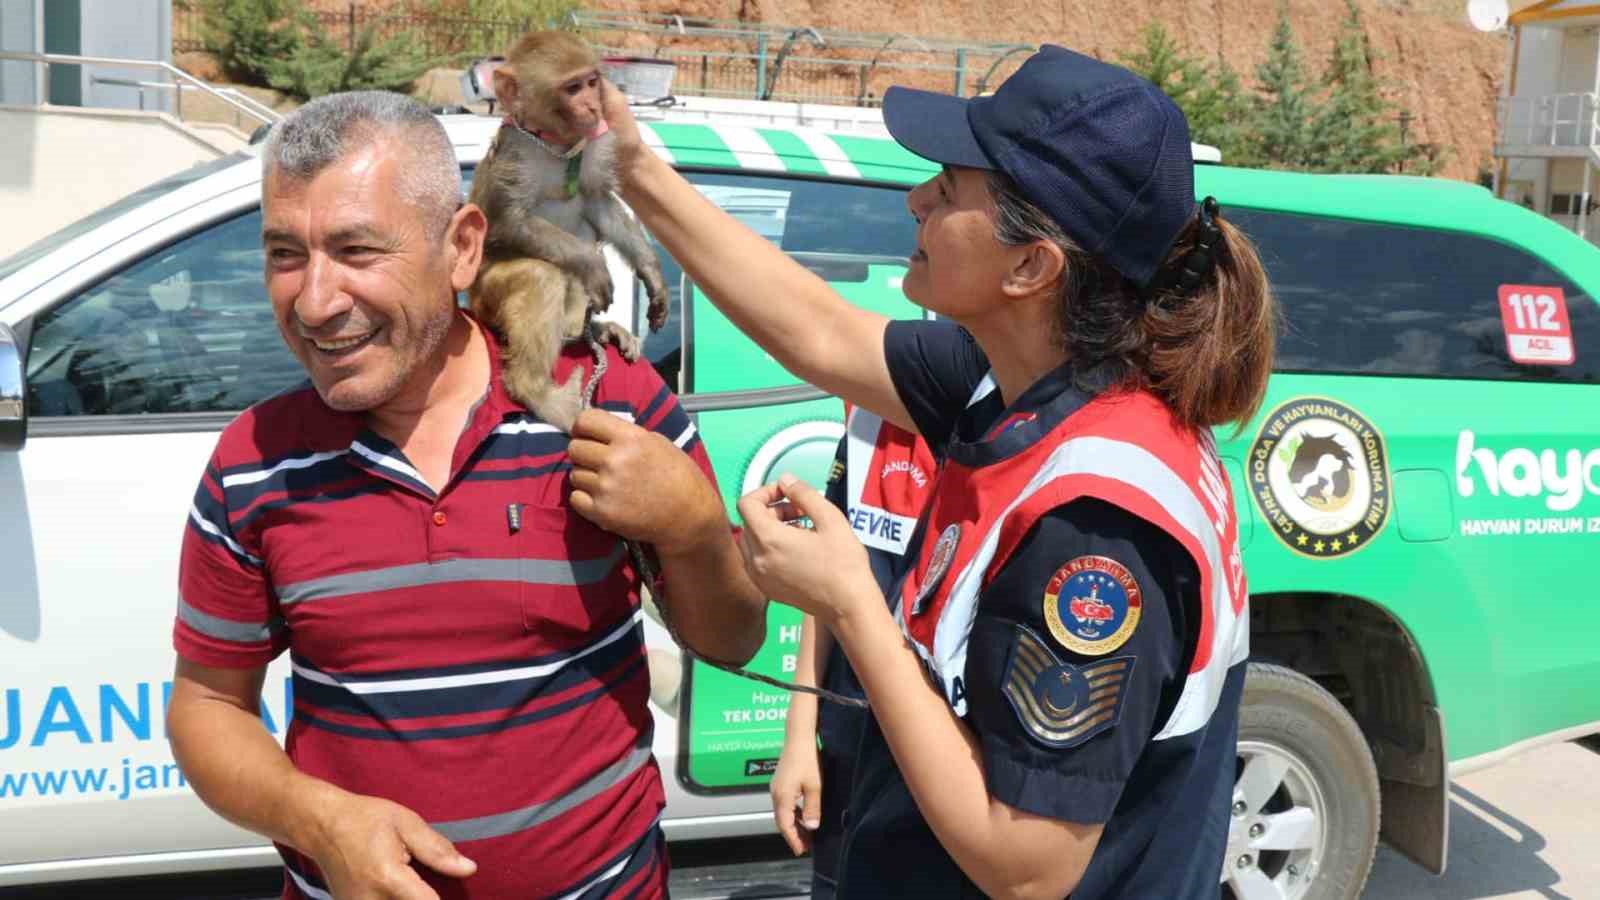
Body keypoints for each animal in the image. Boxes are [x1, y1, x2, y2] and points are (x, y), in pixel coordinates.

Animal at [464, 29, 668, 429]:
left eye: (592, 82)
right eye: (573, 88)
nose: (593, 106)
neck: (556, 146)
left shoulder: (594, 145)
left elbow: (597, 202)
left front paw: (650, 270)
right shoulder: (516, 153)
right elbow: (508, 220)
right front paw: (590, 263)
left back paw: (590, 329)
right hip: (485, 297)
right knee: (540, 276)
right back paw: (537, 389)